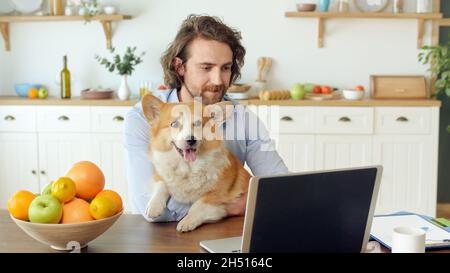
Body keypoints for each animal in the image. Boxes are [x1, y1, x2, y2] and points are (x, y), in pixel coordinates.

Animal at [142, 93, 251, 232]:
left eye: (198, 124)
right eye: (174, 124)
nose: (191, 140)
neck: (187, 168)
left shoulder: (218, 194)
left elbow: (198, 204)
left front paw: (187, 221)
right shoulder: (160, 173)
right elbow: (161, 185)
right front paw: (154, 206)